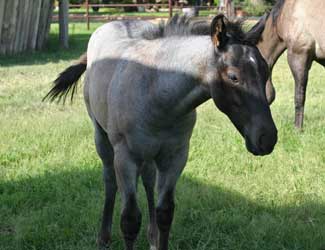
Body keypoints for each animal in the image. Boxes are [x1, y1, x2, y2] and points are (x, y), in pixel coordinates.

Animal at [44, 15, 278, 250]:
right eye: (233, 76)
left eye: (266, 72)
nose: (267, 139)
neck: (157, 94)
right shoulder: (126, 157)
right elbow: (130, 219)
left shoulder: (175, 157)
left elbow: (165, 212)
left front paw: (158, 236)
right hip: (101, 137)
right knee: (110, 181)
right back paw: (104, 237)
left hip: (149, 154)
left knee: (148, 180)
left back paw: (152, 236)